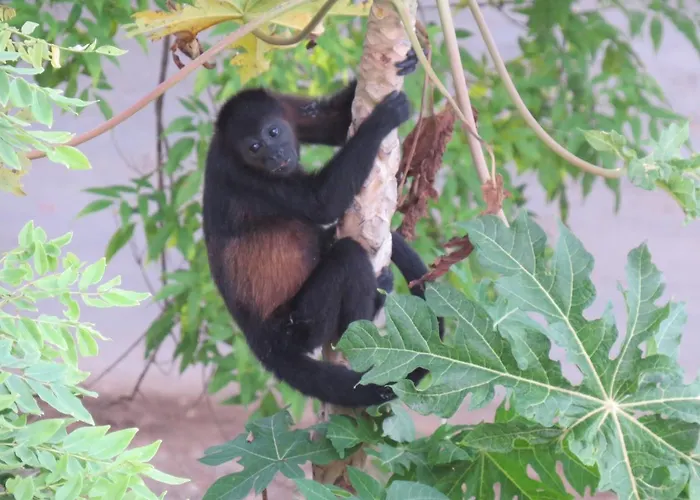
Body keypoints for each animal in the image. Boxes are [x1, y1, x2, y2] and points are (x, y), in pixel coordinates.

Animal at [202, 50, 444, 407]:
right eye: (253, 148)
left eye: (273, 133)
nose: (275, 154)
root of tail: (259, 339)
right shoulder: (244, 175)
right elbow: (322, 201)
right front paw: (383, 118)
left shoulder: (284, 106)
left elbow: (333, 124)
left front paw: (416, 56)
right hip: (298, 326)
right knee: (348, 256)